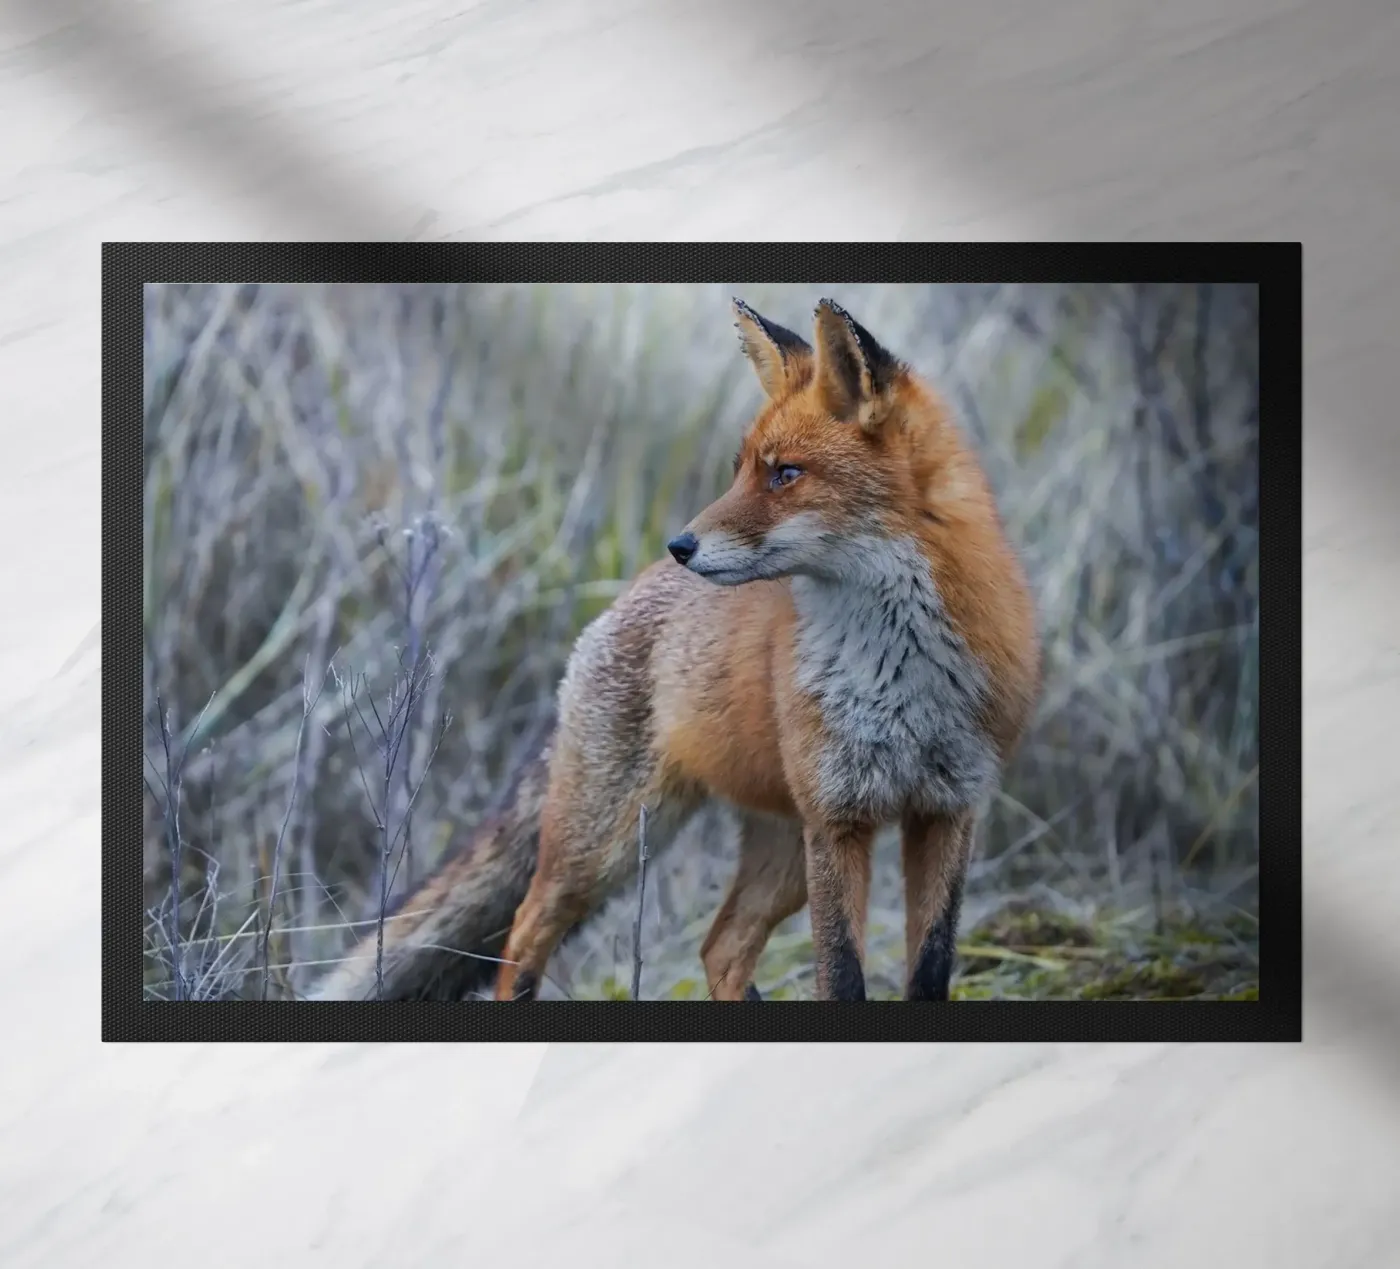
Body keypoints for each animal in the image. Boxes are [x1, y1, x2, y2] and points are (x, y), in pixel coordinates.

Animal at [311, 297, 1040, 1003]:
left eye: (786, 474)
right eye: (742, 470)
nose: (681, 545)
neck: (899, 671)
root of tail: (623, 596)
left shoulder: (947, 809)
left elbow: (931, 971)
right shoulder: (837, 818)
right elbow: (842, 975)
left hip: (781, 851)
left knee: (720, 946)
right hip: (607, 844)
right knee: (525, 929)